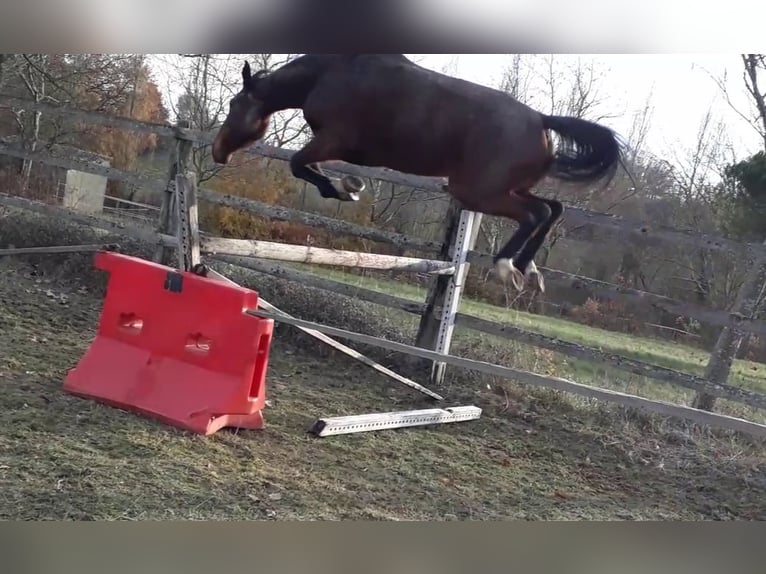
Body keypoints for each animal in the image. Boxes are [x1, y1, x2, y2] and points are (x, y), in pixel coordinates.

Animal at [210, 53, 624, 292]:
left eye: (233, 103)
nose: (218, 152)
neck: (327, 75)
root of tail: (541, 120)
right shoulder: (330, 146)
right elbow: (308, 167)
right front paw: (349, 185)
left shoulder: (332, 140)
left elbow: (300, 165)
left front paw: (343, 189)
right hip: (498, 189)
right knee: (553, 208)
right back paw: (529, 269)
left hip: (478, 192)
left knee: (535, 214)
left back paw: (508, 268)